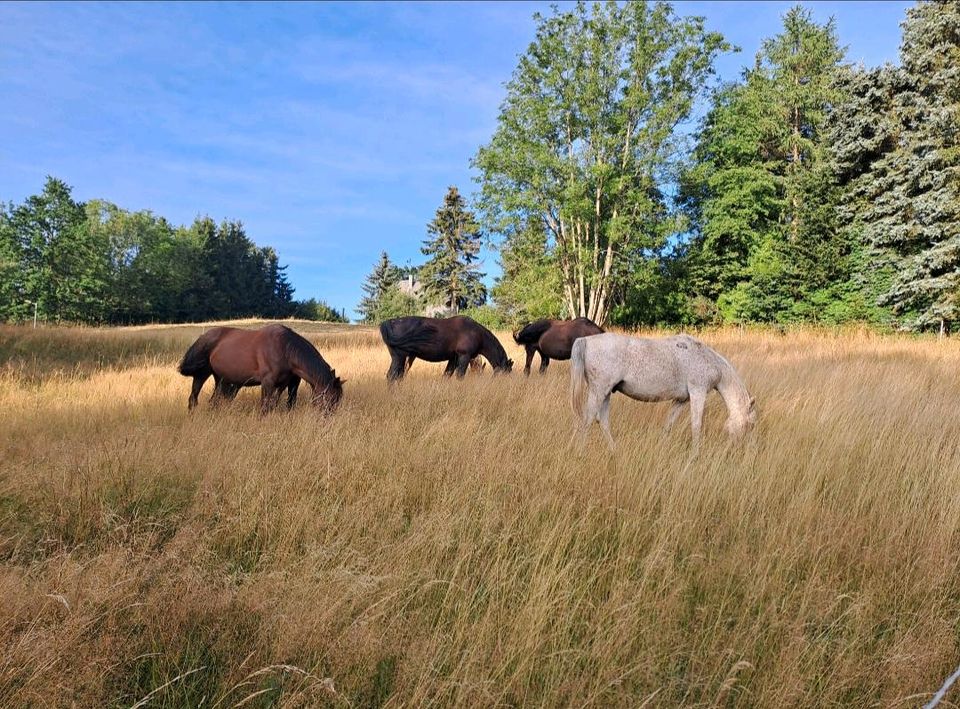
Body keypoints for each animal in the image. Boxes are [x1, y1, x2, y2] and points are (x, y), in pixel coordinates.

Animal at [178, 324, 344, 412]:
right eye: (331, 398)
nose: (327, 419)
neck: (285, 349)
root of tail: (203, 337)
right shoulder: (267, 383)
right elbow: (265, 407)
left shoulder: (285, 384)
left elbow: (280, 404)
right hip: (202, 374)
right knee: (193, 398)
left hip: (222, 380)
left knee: (214, 401)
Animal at [378, 316, 512, 382]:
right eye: (506, 373)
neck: (476, 333)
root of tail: (389, 322)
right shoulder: (464, 357)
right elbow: (460, 376)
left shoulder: (453, 359)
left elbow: (447, 375)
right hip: (400, 357)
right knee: (392, 376)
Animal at [568, 332, 756, 448]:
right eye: (750, 424)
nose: (742, 447)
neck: (710, 361)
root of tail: (586, 340)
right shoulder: (698, 393)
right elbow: (696, 425)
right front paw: (696, 455)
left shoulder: (681, 400)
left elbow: (669, 424)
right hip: (598, 391)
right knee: (587, 420)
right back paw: (580, 452)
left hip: (606, 393)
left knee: (603, 422)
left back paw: (615, 451)